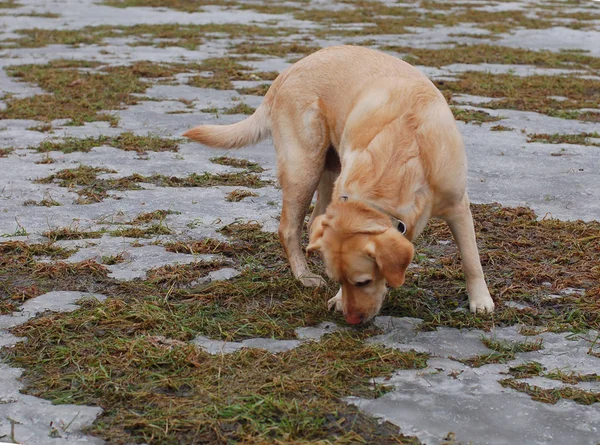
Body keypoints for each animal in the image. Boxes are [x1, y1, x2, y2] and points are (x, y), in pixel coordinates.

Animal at [183, 44, 492, 322]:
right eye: (342, 281)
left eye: (363, 282)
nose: (352, 320)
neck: (405, 149)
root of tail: (288, 72)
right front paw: (338, 299)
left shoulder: (458, 206)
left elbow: (471, 260)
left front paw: (481, 301)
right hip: (304, 167)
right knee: (288, 229)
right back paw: (305, 276)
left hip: (327, 170)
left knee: (312, 223)